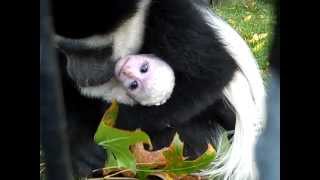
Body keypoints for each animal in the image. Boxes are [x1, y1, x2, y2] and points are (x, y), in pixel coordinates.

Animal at [52, 0, 264, 179]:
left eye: (101, 51)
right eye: (67, 49)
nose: (82, 75)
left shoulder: (176, 20)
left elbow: (210, 77)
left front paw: (110, 121)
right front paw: (81, 147)